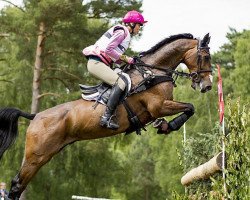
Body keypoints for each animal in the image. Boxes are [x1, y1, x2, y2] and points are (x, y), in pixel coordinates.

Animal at [0, 32, 213, 198]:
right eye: (205, 56)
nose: (207, 86)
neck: (151, 73)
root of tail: (35, 116)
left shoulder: (158, 109)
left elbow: (189, 108)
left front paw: (163, 125)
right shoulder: (158, 106)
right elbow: (190, 107)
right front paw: (170, 126)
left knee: (19, 185)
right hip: (37, 156)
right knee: (17, 185)